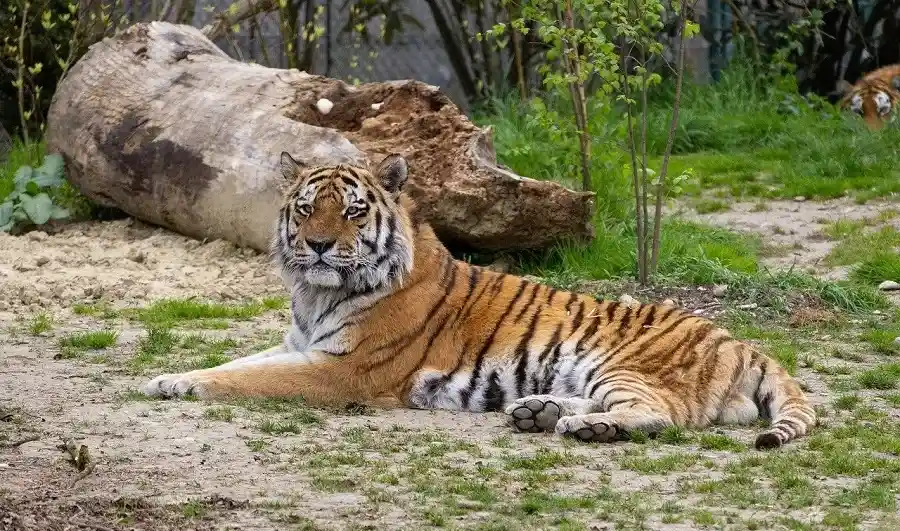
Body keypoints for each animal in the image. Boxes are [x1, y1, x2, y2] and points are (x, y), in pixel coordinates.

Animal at [141, 152, 816, 450]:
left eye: (353, 211)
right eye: (306, 208)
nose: (318, 244)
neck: (314, 294)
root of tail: (744, 342)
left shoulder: (342, 371)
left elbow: (249, 380)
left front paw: (182, 384)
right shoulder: (299, 344)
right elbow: (237, 363)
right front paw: (166, 377)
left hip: (625, 365)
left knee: (665, 416)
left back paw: (583, 427)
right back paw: (538, 411)